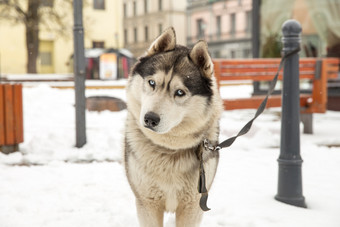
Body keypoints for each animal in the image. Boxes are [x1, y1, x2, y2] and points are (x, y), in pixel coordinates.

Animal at [124, 27, 223, 226]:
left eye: (180, 92)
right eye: (152, 82)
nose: (150, 119)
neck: (168, 149)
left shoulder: (193, 206)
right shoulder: (147, 203)